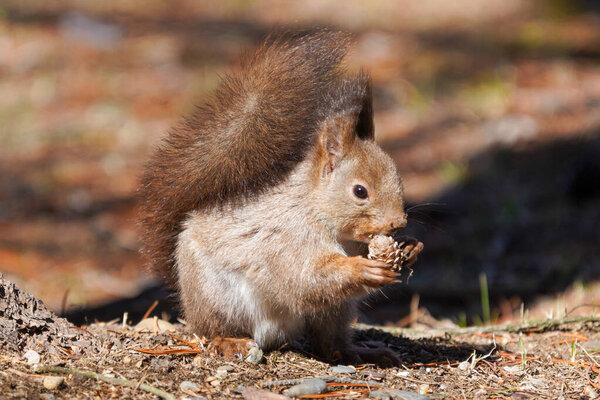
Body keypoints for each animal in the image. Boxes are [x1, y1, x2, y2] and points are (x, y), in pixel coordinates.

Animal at [140, 29, 410, 368]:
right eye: (360, 191)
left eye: (399, 178)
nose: (398, 223)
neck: (318, 211)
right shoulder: (288, 238)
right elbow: (305, 278)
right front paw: (364, 269)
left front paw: (409, 250)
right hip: (215, 295)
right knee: (212, 328)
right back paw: (229, 341)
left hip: (334, 311)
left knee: (329, 340)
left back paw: (357, 351)